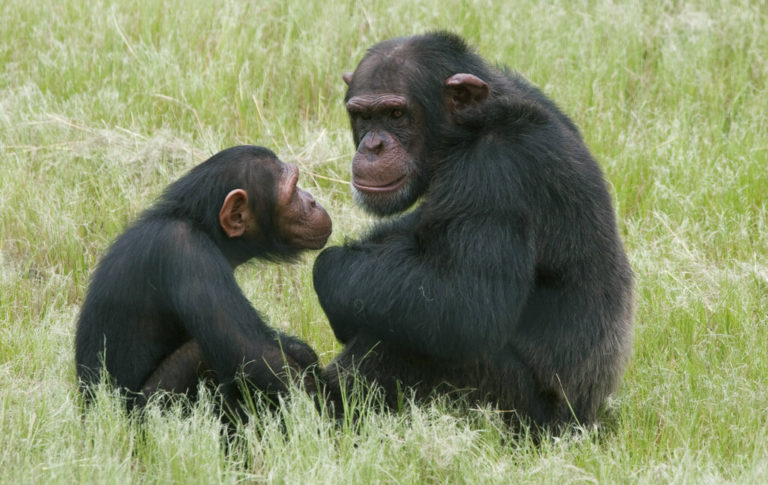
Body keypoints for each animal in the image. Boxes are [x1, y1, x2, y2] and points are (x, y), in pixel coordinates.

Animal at [73, 145, 332, 412]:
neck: (203, 227)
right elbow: (255, 354)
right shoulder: (187, 252)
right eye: (293, 191)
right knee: (199, 352)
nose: (312, 200)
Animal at [308, 32, 632, 430]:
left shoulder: (494, 174)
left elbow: (466, 303)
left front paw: (330, 268)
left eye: (396, 114)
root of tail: (588, 419)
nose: (373, 145)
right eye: (363, 116)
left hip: (517, 412)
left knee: (410, 335)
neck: (471, 128)